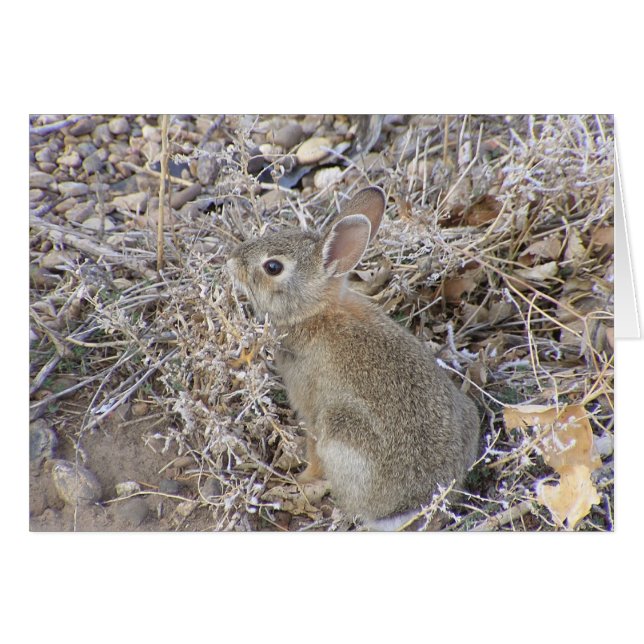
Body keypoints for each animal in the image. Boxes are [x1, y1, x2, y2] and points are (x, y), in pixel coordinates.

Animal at [226, 186, 480, 530]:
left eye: (273, 267)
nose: (231, 261)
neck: (314, 312)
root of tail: (424, 500)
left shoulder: (311, 408)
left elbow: (313, 449)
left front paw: (301, 478)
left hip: (342, 430)